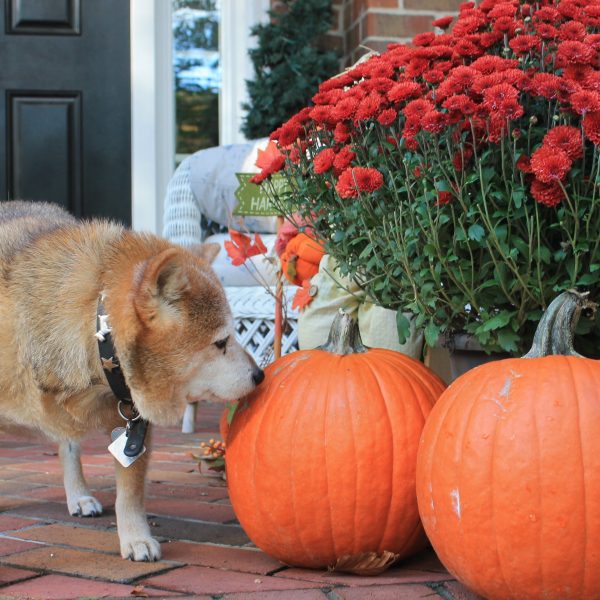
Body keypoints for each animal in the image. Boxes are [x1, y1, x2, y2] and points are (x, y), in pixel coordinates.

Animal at [0, 203, 264, 564]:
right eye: (221, 342)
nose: (260, 375)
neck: (97, 332)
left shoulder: (133, 428)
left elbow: (130, 495)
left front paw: (136, 538)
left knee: (69, 445)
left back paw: (78, 495)